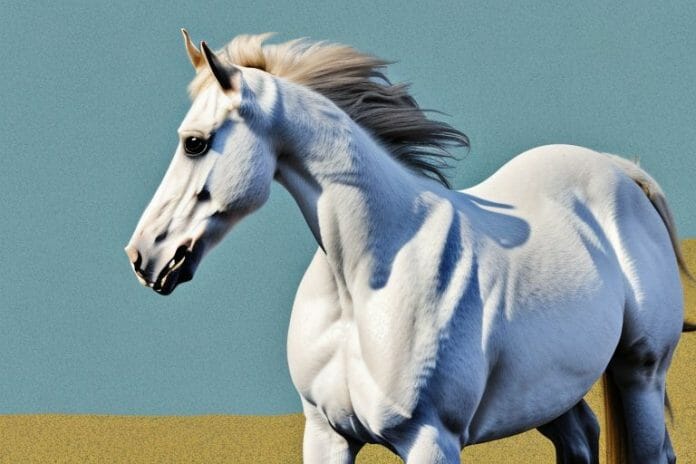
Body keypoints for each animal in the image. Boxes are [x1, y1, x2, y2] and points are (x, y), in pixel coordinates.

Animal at [125, 31, 692, 463]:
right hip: (552, 393)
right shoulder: (326, 435)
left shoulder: (430, 439)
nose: (142, 257)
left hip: (640, 375)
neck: (364, 283)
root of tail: (618, 169)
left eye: (194, 142)